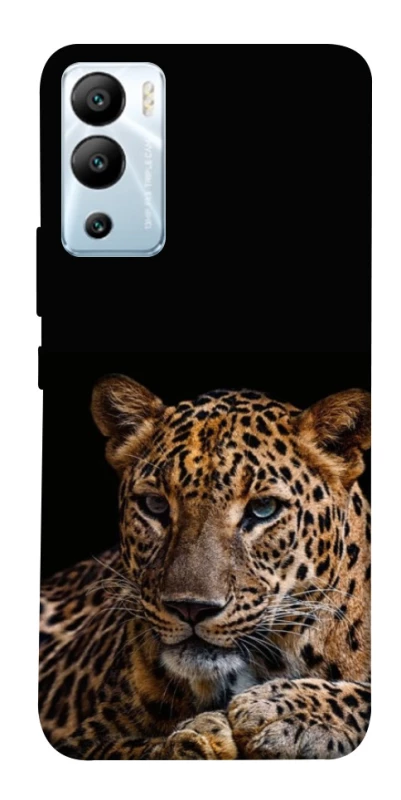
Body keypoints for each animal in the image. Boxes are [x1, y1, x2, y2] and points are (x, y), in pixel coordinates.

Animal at [39, 375, 371, 759]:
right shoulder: (84, 739)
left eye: (263, 509)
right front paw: (199, 738)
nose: (190, 608)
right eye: (154, 505)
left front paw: (281, 711)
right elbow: (131, 749)